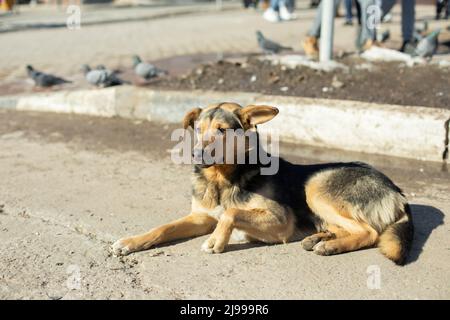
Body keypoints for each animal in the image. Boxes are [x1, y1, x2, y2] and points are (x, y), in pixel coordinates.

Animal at [112, 102, 414, 264]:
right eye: (199, 129)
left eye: (222, 131)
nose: (196, 154)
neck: (222, 179)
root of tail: (397, 191)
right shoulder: (200, 216)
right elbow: (163, 228)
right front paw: (131, 241)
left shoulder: (281, 219)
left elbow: (231, 213)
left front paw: (217, 240)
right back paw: (318, 238)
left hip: (315, 186)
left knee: (370, 232)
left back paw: (330, 246)